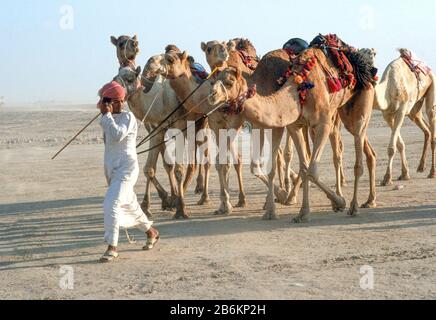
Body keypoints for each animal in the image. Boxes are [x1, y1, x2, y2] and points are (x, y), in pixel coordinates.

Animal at [372, 47, 436, 184]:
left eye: (372, 53)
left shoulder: (400, 111)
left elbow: (392, 148)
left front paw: (387, 178)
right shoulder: (387, 115)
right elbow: (399, 144)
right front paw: (404, 174)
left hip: (432, 86)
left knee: (431, 117)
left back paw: (432, 172)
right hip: (414, 110)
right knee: (426, 128)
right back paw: (421, 167)